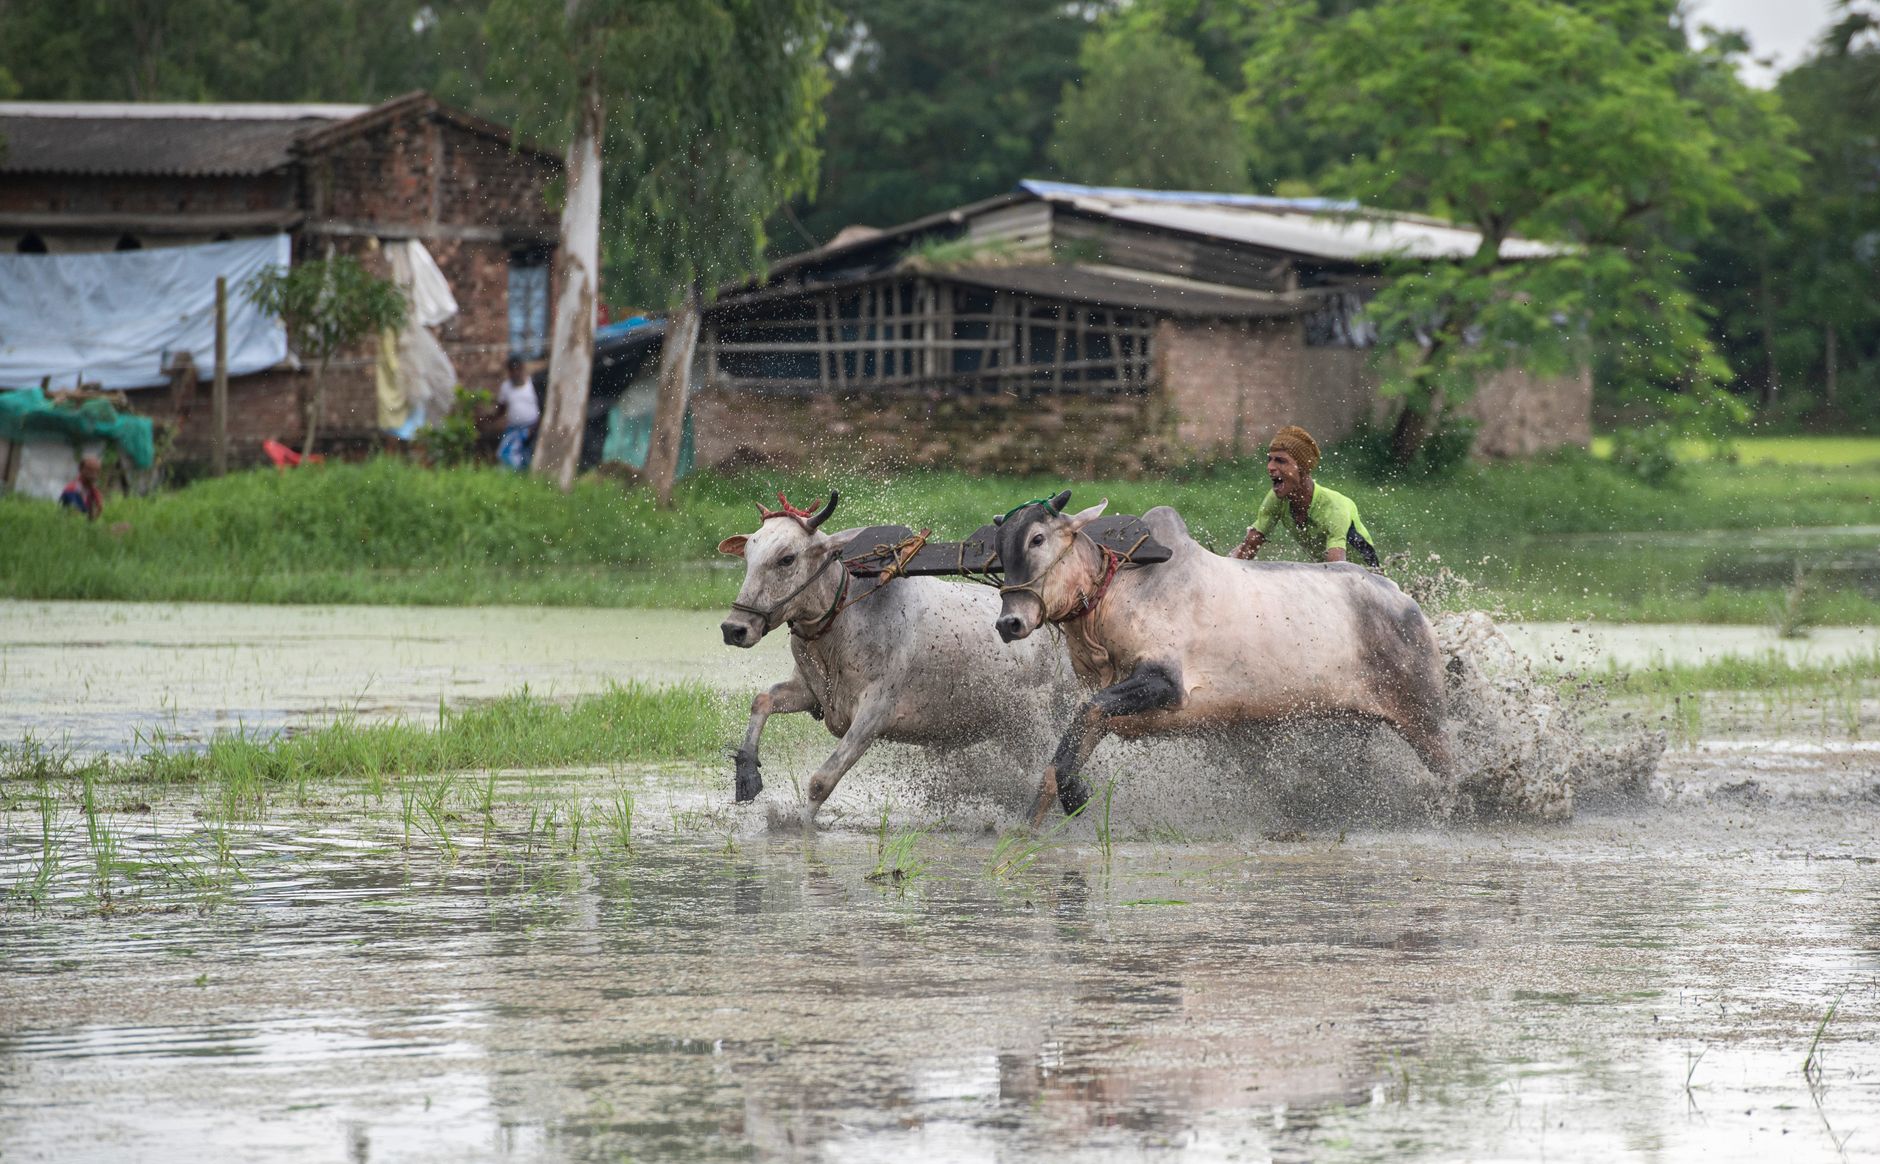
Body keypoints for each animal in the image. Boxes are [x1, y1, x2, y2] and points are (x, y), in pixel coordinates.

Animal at [719, 491, 1070, 824]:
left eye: (786, 558)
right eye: (748, 556)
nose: (734, 628)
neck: (843, 621)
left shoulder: (873, 715)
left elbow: (822, 780)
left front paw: (798, 825)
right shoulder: (810, 692)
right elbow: (762, 701)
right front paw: (747, 775)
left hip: (1038, 724)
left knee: (1050, 771)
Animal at [992, 491, 1453, 827]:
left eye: (1037, 539)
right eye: (1001, 550)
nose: (1009, 622)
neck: (1118, 591)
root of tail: (1404, 599)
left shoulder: (1167, 684)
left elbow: (1087, 714)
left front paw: (1078, 797)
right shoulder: (1107, 704)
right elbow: (1058, 763)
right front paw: (1028, 828)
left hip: (1426, 720)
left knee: (1450, 775)